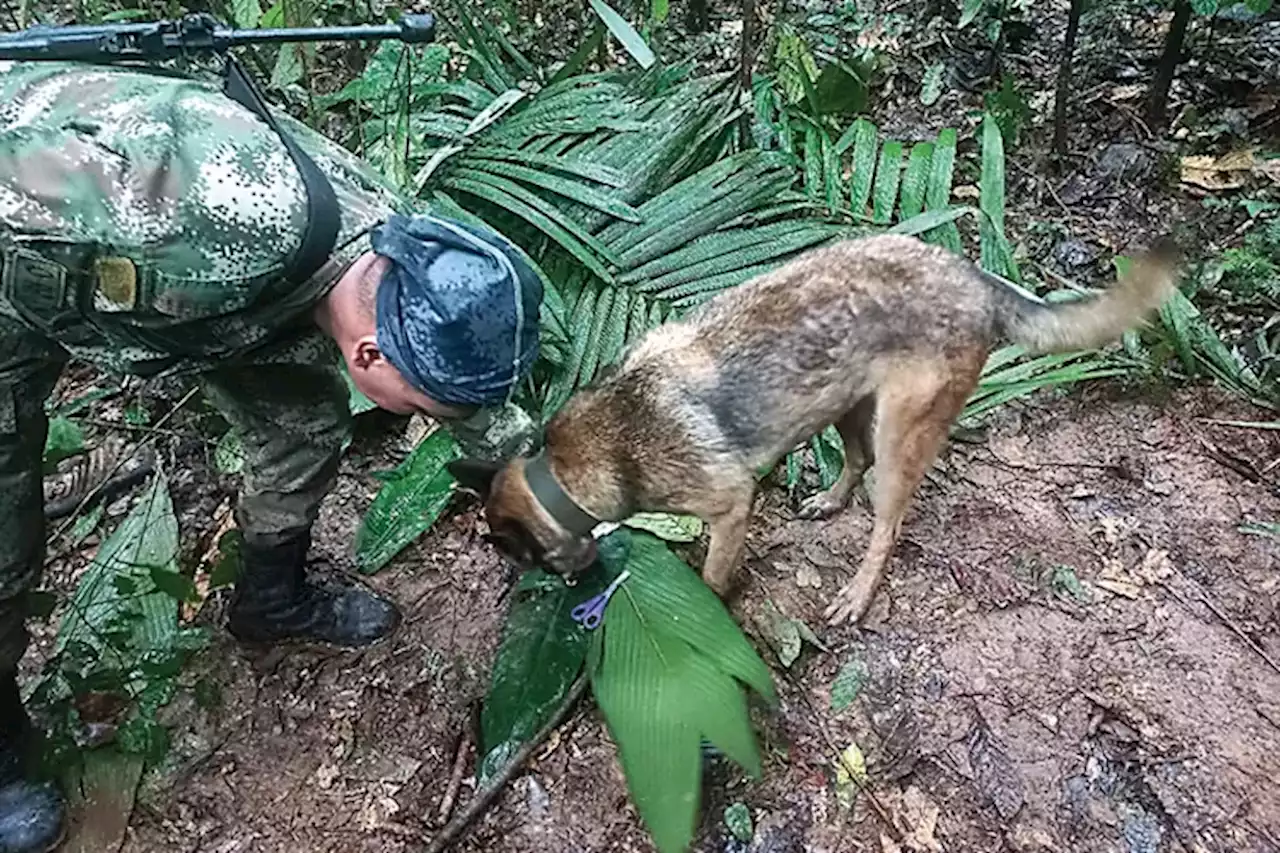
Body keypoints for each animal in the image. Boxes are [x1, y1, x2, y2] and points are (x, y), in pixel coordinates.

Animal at [450, 233, 1177, 625]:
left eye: (522, 559)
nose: (574, 589)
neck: (568, 468)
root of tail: (975, 277)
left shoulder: (730, 504)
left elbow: (713, 575)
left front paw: (708, 607)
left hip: (898, 433)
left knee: (887, 523)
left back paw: (857, 591)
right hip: (846, 405)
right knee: (853, 463)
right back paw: (829, 500)